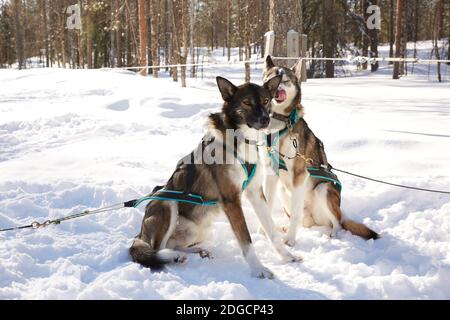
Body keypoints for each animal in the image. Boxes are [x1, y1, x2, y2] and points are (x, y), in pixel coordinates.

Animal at [130, 76, 300, 278]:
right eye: (247, 102)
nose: (265, 120)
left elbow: (272, 230)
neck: (240, 140)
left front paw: (287, 256)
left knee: (173, 244)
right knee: (157, 248)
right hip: (166, 203)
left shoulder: (255, 193)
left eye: (266, 101)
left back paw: (195, 251)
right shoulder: (231, 200)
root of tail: (140, 234)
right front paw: (259, 270)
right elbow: (246, 241)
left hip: (200, 228)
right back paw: (172, 258)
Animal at [262, 55, 378, 245]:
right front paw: (263, 232)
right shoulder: (271, 174)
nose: (276, 91)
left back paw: (331, 235)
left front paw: (291, 241)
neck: (281, 125)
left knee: (336, 223)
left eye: (285, 81)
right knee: (301, 219)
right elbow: (268, 205)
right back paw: (286, 228)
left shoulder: (299, 176)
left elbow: (294, 215)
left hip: (323, 189)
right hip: (283, 191)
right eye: (270, 80)